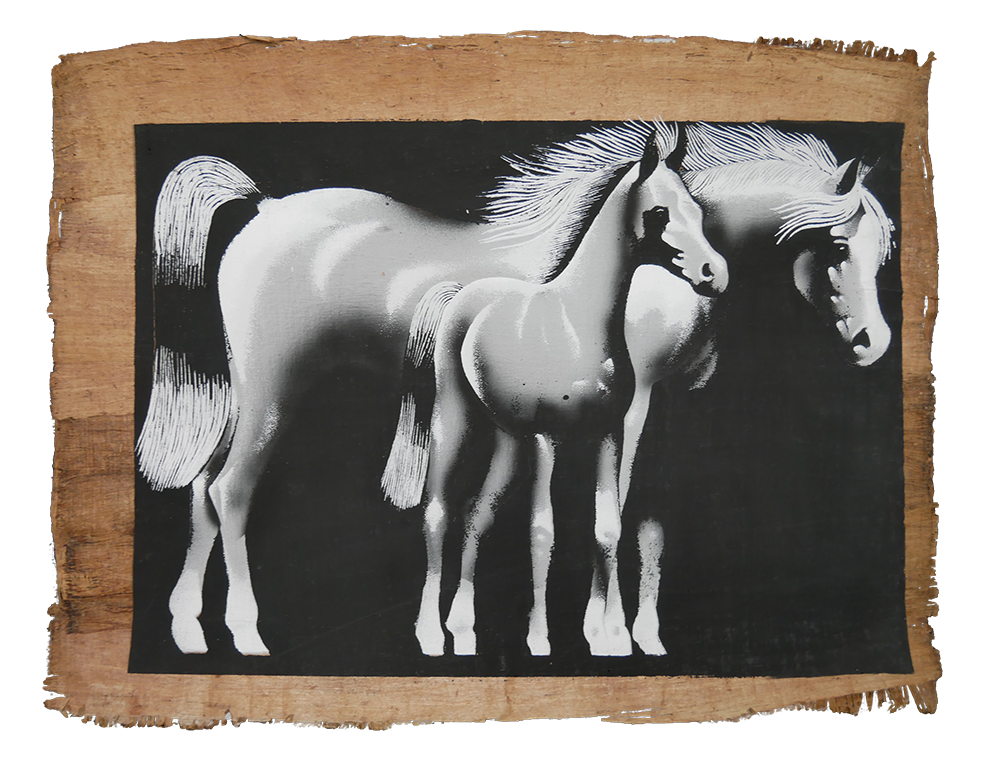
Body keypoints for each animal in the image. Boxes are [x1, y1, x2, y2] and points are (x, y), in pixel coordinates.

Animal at [390, 128, 728, 657]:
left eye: (696, 209)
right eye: (659, 213)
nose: (715, 274)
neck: (578, 323)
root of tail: (462, 295)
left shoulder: (609, 436)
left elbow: (607, 526)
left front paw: (610, 640)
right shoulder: (547, 441)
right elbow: (542, 530)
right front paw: (539, 638)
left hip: (507, 439)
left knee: (476, 514)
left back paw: (463, 632)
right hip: (456, 421)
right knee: (438, 512)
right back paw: (429, 634)